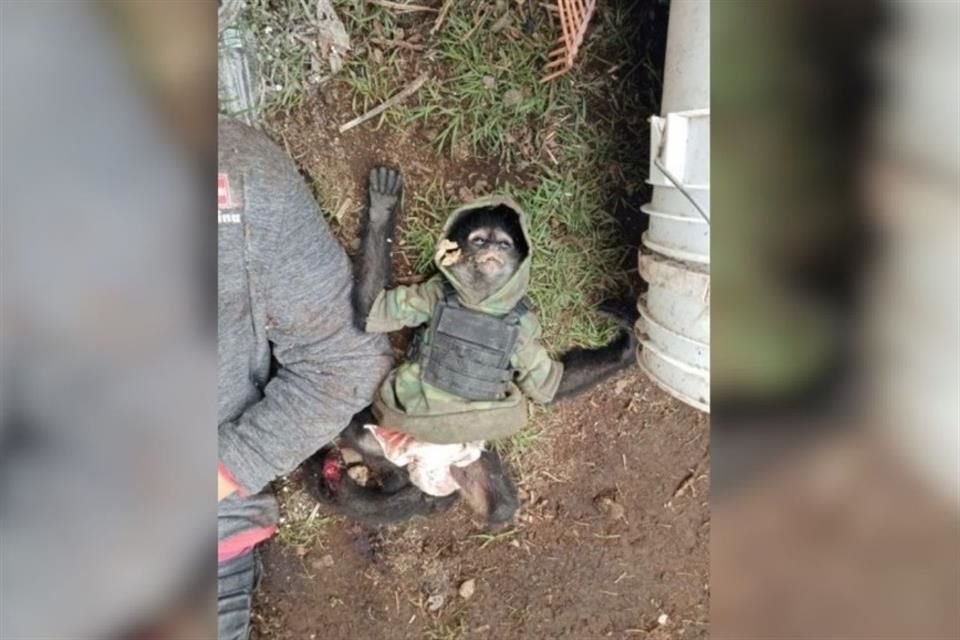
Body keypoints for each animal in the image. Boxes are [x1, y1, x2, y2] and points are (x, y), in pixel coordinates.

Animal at [309, 166, 636, 527]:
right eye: (479, 239)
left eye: (504, 242)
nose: (493, 246)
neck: (480, 306)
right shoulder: (430, 293)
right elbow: (371, 310)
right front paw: (383, 209)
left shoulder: (524, 332)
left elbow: (548, 385)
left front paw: (628, 344)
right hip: (391, 436)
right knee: (359, 432)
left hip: (467, 460)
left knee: (501, 505)